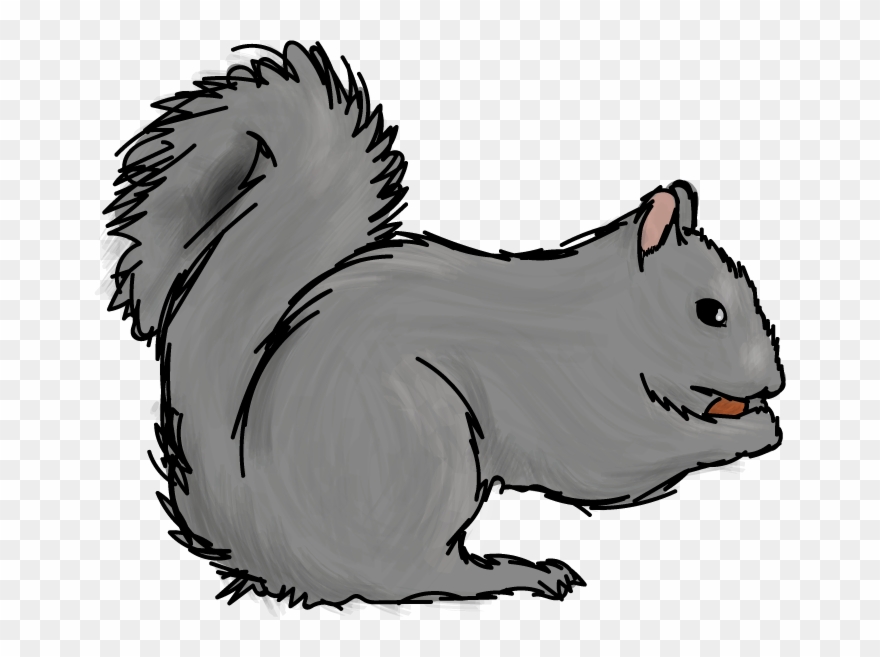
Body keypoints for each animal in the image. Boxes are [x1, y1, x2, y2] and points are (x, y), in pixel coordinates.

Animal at [105, 41, 785, 609]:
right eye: (710, 312)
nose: (775, 383)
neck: (607, 316)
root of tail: (268, 533)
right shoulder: (580, 398)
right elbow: (620, 458)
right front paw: (753, 429)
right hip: (421, 446)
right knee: (418, 575)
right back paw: (519, 573)